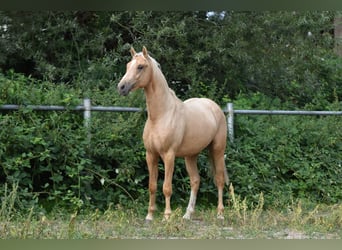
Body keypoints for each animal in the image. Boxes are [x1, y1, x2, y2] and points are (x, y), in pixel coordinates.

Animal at [117, 47, 230, 221]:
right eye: (128, 65)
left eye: (141, 66)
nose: (121, 87)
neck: (161, 115)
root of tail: (214, 106)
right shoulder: (151, 155)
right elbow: (152, 186)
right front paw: (150, 216)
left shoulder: (169, 155)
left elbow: (166, 187)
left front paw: (167, 216)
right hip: (191, 156)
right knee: (195, 180)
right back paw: (187, 214)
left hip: (217, 150)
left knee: (219, 179)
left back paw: (220, 214)